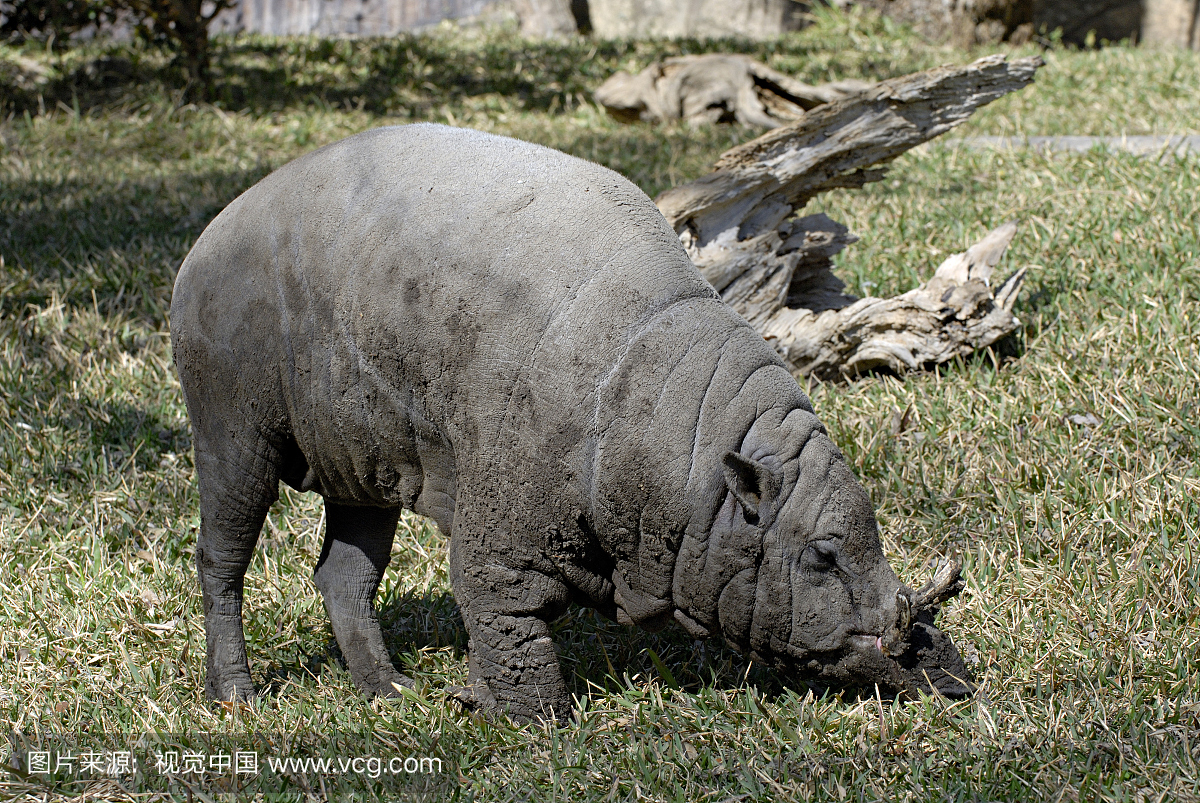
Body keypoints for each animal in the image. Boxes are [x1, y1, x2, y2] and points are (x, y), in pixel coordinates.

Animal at [171, 122, 974, 724]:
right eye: (824, 557)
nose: (952, 677)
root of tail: (202, 245)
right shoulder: (499, 518)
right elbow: (502, 615)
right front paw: (521, 718)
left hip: (362, 461)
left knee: (341, 575)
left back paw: (387, 687)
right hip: (232, 427)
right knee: (220, 559)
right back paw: (236, 694)